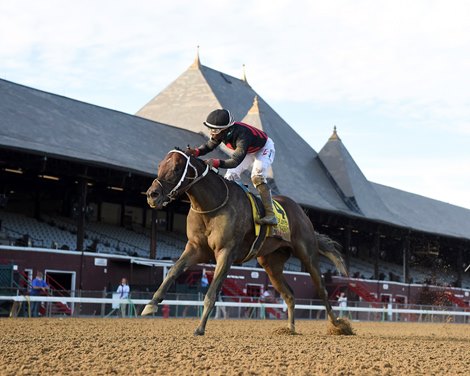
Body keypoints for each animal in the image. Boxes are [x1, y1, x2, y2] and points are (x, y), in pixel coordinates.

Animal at [142, 148, 352, 336]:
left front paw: (200, 328)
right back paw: (290, 329)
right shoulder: (196, 248)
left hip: (307, 255)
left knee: (322, 291)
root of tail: (302, 212)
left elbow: (212, 292)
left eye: (177, 168)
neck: (211, 206)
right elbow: (173, 271)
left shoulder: (226, 252)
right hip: (271, 264)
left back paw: (339, 326)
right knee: (289, 294)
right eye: (160, 165)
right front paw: (151, 304)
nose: (152, 194)